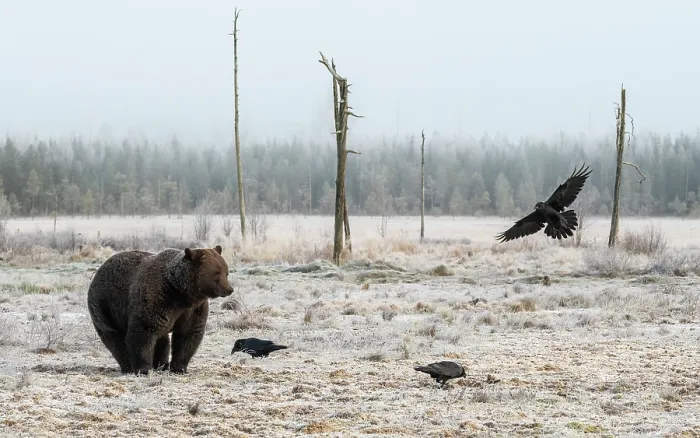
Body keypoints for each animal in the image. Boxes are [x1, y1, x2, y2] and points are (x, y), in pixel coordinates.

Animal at [87, 245, 234, 375]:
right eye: (217, 274)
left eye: (226, 272)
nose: (229, 289)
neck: (181, 292)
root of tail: (100, 269)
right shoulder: (157, 298)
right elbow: (143, 332)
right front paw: (143, 369)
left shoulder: (192, 309)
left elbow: (188, 334)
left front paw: (179, 368)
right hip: (105, 306)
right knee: (114, 338)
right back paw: (128, 366)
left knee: (161, 340)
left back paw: (162, 365)